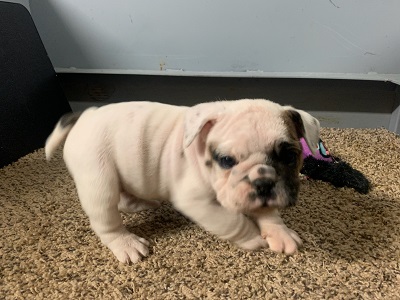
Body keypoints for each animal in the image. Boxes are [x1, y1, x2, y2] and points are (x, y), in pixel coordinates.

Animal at [46, 98, 318, 262]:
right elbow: (231, 221)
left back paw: (143, 203)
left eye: (290, 156)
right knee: (106, 218)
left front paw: (279, 231)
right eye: (226, 160)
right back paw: (126, 244)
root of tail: (85, 117)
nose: (263, 182)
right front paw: (251, 236)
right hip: (98, 177)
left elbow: (268, 211)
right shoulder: (198, 202)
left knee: (123, 199)